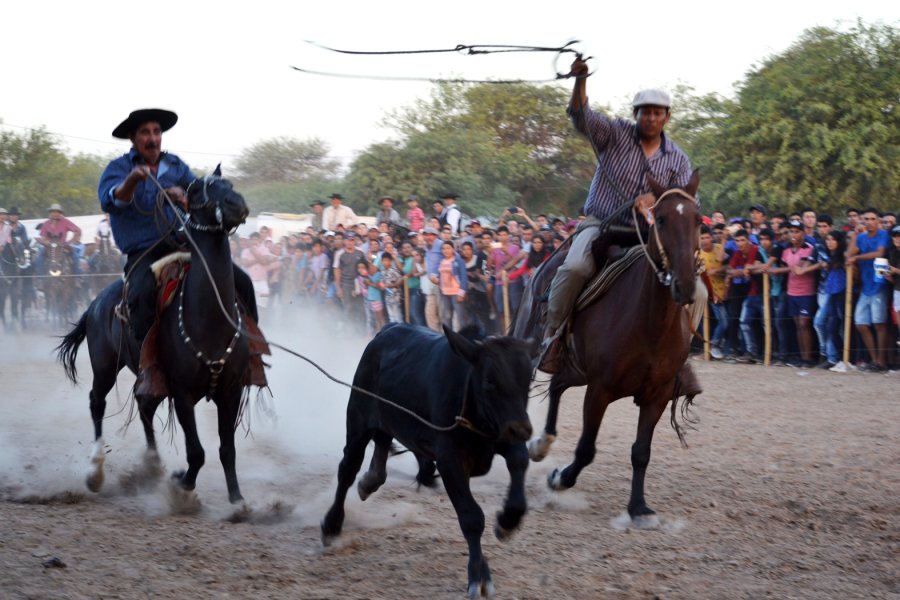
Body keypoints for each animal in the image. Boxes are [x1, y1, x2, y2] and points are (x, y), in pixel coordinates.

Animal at [57, 171, 253, 504]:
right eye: (197, 188)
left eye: (227, 183)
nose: (237, 204)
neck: (210, 320)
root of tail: (96, 303)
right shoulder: (183, 393)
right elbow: (197, 452)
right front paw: (181, 484)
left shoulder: (231, 390)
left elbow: (227, 449)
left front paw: (238, 501)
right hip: (105, 367)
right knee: (97, 402)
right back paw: (96, 472)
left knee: (144, 406)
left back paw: (151, 464)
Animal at [512, 171, 704, 528]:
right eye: (660, 218)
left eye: (698, 219)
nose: (684, 283)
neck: (650, 324)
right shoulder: (600, 389)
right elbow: (586, 448)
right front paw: (559, 479)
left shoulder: (657, 395)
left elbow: (641, 451)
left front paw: (639, 507)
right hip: (536, 352)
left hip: (575, 368)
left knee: (557, 387)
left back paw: (541, 444)